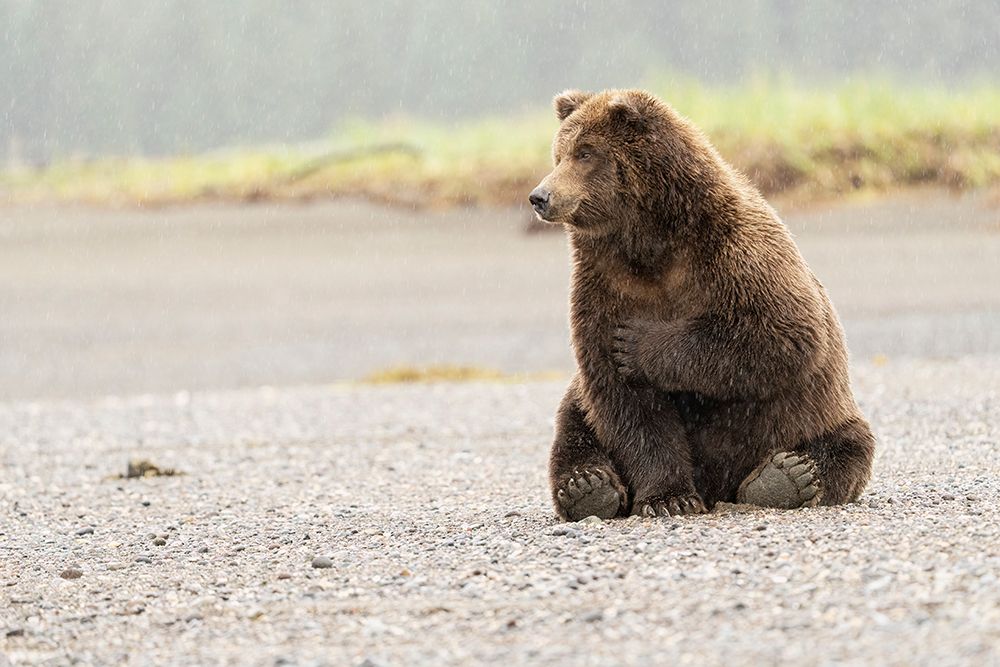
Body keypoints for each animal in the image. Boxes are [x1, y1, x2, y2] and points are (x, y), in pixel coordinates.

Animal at [528, 89, 876, 521]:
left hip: (819, 410)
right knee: (575, 418)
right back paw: (587, 485)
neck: (649, 243)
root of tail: (719, 488)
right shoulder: (604, 285)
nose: (540, 196)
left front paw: (637, 344)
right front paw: (669, 497)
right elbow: (625, 402)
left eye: (585, 153)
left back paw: (788, 476)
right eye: (559, 154)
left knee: (849, 445)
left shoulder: (736, 254)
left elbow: (781, 334)